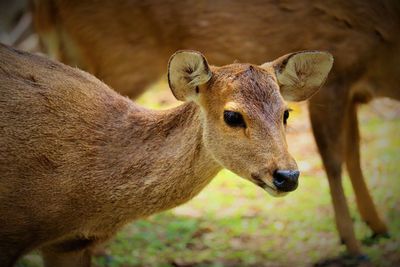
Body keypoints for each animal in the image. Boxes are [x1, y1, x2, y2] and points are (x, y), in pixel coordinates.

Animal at [30, 0, 400, 260]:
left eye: (285, 113)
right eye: (233, 116)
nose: (288, 177)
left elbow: (354, 152)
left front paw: (378, 227)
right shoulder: (340, 77)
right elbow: (335, 159)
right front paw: (355, 246)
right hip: (117, 57)